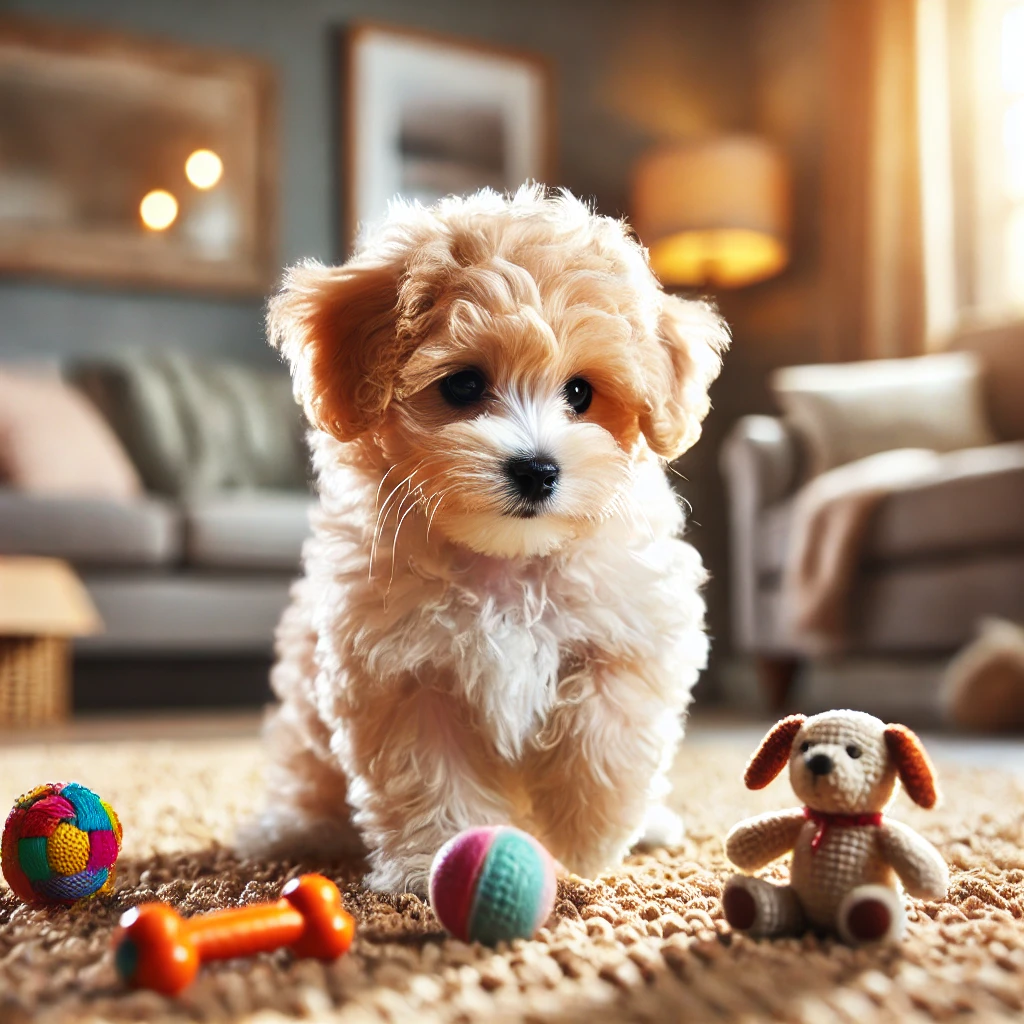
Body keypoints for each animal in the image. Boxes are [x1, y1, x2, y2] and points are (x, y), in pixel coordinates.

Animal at [241, 186, 729, 897]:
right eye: (464, 385)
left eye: (580, 392)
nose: (537, 469)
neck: (508, 561)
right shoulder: (405, 672)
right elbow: (429, 770)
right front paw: (437, 855)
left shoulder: (627, 631)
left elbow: (605, 730)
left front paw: (585, 838)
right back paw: (295, 828)